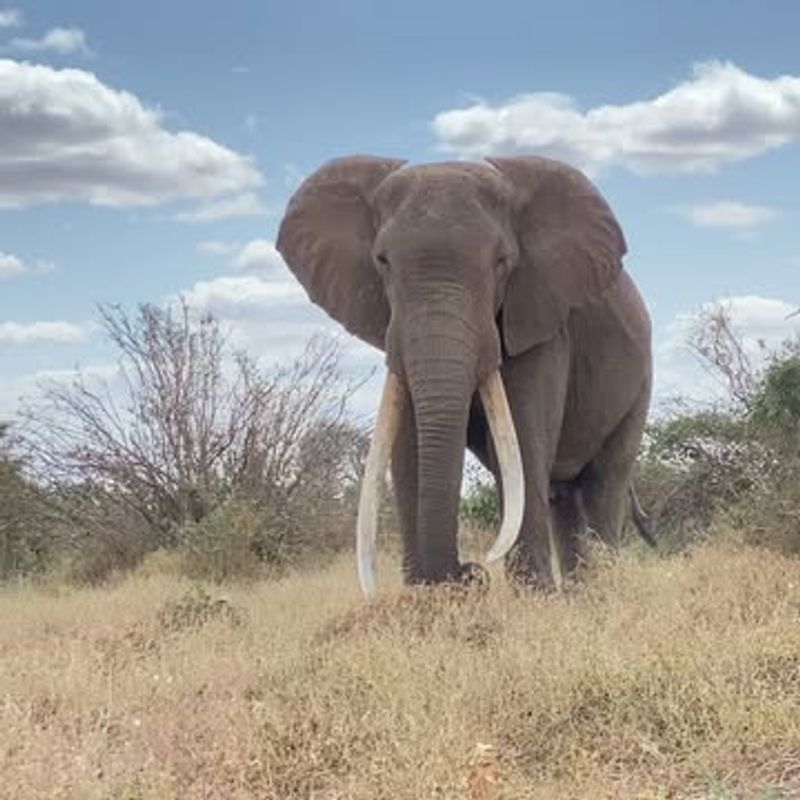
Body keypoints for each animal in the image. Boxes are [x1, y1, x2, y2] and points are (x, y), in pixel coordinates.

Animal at [278, 155, 652, 592]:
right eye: (382, 262)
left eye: (502, 262)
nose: (469, 572)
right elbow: (409, 441)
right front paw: (425, 596)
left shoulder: (540, 321)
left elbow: (522, 438)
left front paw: (536, 597)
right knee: (564, 497)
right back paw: (582, 593)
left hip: (639, 383)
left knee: (603, 484)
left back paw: (601, 590)